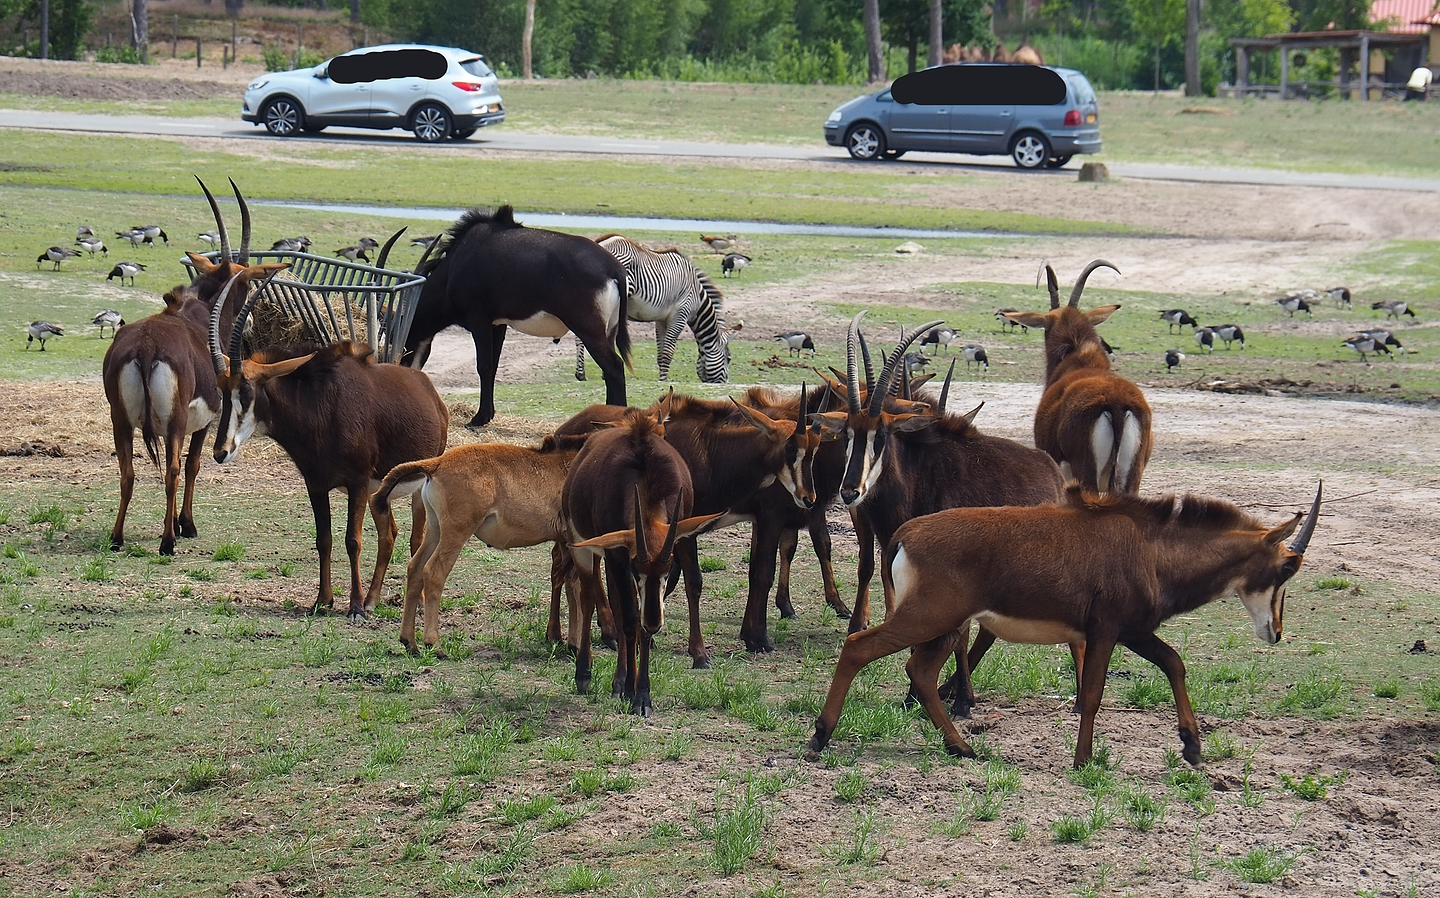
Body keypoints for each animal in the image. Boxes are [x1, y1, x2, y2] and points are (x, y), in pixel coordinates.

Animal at [104, 176, 283, 556]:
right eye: (247, 283)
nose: (249, 324)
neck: (198, 313)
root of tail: (146, 346)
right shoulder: (205, 420)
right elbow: (193, 465)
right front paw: (185, 524)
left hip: (119, 419)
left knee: (127, 471)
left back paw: (117, 537)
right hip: (173, 420)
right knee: (172, 469)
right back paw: (167, 542)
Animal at [209, 277, 449, 620]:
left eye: (245, 390)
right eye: (221, 391)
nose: (221, 452)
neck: (318, 405)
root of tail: (431, 393)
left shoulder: (357, 482)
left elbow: (353, 540)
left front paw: (355, 607)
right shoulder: (316, 484)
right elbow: (324, 539)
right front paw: (323, 601)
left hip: (417, 485)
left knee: (417, 539)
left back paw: (408, 604)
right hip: (380, 492)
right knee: (389, 534)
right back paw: (374, 599)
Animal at [563, 404, 723, 714]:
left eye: (668, 569)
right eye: (638, 570)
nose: (654, 622)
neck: (644, 473)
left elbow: (637, 625)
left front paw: (640, 696)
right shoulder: (618, 555)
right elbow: (628, 620)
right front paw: (629, 689)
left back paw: (619, 681)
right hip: (584, 547)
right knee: (589, 598)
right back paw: (585, 673)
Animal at [804, 484, 1323, 768]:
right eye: (1286, 568)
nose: (1275, 631)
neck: (1151, 547)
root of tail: (903, 534)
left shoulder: (1133, 631)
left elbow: (1174, 663)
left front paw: (1193, 748)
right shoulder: (1107, 630)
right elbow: (1092, 694)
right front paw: (1083, 759)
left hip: (945, 627)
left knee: (921, 673)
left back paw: (962, 748)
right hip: (929, 616)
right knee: (859, 646)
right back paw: (818, 739)